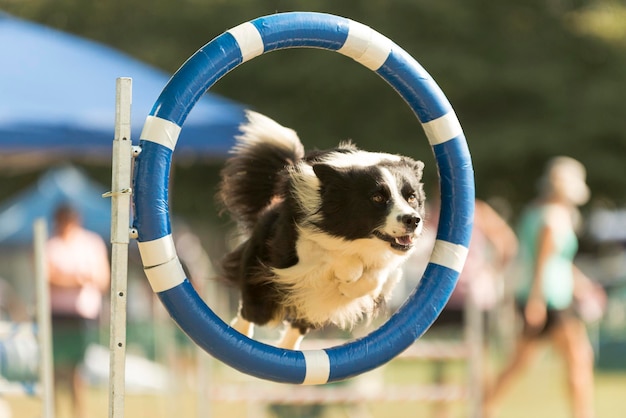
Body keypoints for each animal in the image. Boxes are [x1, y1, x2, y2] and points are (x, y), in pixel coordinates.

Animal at [217, 111, 426, 350]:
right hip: (264, 284)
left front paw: (347, 288)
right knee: (251, 313)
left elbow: (376, 277)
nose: (413, 220)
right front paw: (347, 275)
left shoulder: (389, 263)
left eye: (412, 197)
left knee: (298, 324)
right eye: (377, 197)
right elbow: (330, 253)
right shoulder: (298, 245)